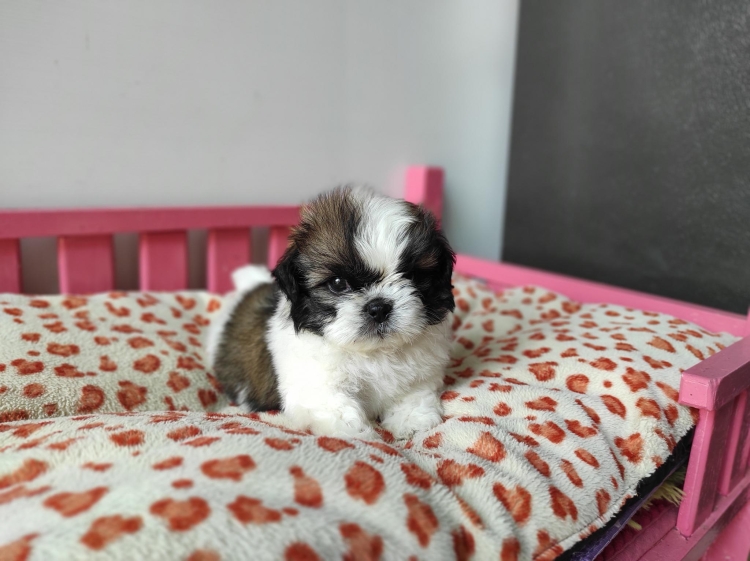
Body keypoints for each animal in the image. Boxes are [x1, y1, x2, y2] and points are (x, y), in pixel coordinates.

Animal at [207, 186, 455, 439]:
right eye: (337, 283)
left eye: (413, 277)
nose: (379, 307)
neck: (374, 353)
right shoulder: (316, 388)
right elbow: (341, 414)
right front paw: (362, 436)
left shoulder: (421, 376)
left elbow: (414, 394)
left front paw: (411, 420)